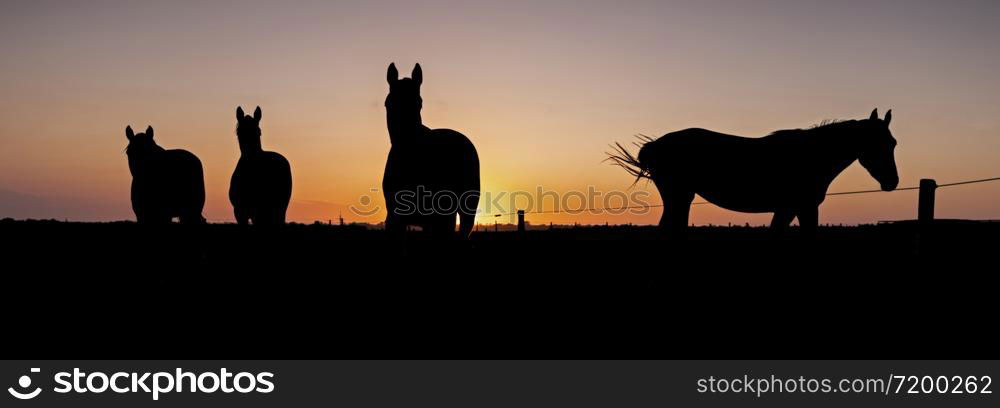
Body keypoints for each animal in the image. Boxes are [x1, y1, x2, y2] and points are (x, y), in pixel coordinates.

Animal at [604, 109, 904, 236]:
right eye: (877, 144)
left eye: (893, 143)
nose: (892, 181)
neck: (811, 155)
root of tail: (655, 145)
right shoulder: (803, 207)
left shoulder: (788, 209)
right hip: (678, 195)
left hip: (681, 197)